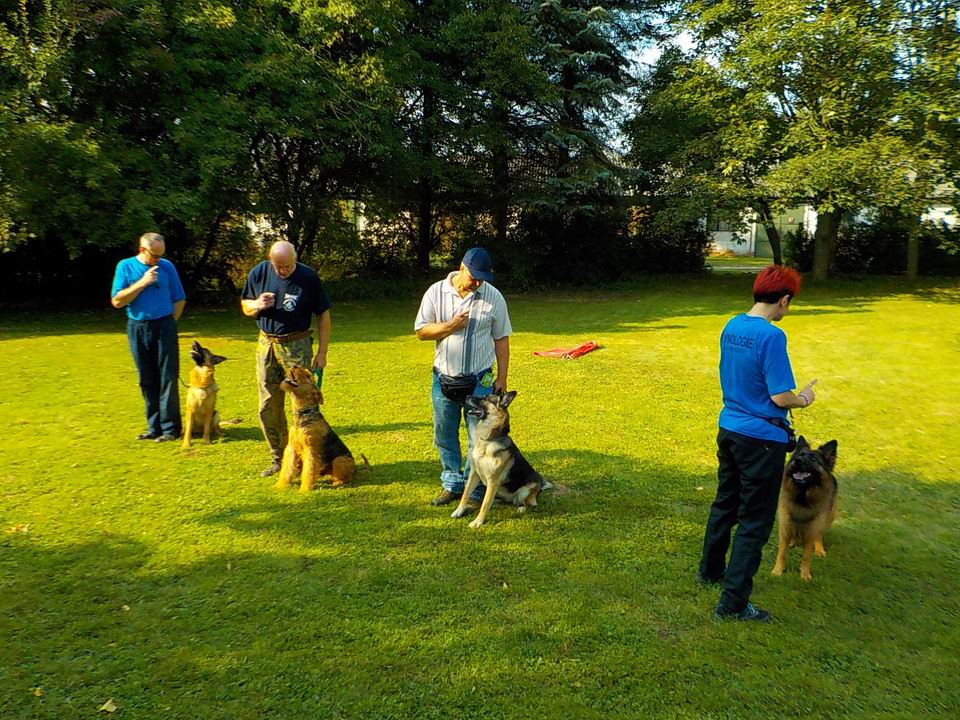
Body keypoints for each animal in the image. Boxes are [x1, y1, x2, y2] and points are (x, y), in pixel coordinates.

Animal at [274, 362, 356, 492]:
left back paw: (337, 482)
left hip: (340, 460)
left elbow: (309, 471)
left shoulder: (310, 450)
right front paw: (279, 485)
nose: (295, 365)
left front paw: (304, 490)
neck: (304, 413)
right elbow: (287, 468)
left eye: (308, 376)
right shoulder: (291, 448)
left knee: (344, 477)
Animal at [448, 394, 540, 528]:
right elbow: (466, 494)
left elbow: (485, 504)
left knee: (528, 503)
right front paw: (459, 511)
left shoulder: (493, 480)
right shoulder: (474, 473)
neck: (488, 440)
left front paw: (478, 521)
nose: (467, 395)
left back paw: (522, 507)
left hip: (527, 489)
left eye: (486, 398)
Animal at [768, 436, 836, 584]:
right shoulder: (785, 527)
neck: (802, 497)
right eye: (799, 455)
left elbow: (806, 556)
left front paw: (805, 574)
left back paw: (819, 548)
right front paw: (778, 571)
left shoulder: (811, 530)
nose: (797, 461)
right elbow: (782, 553)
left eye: (814, 458)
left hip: (827, 517)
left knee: (819, 535)